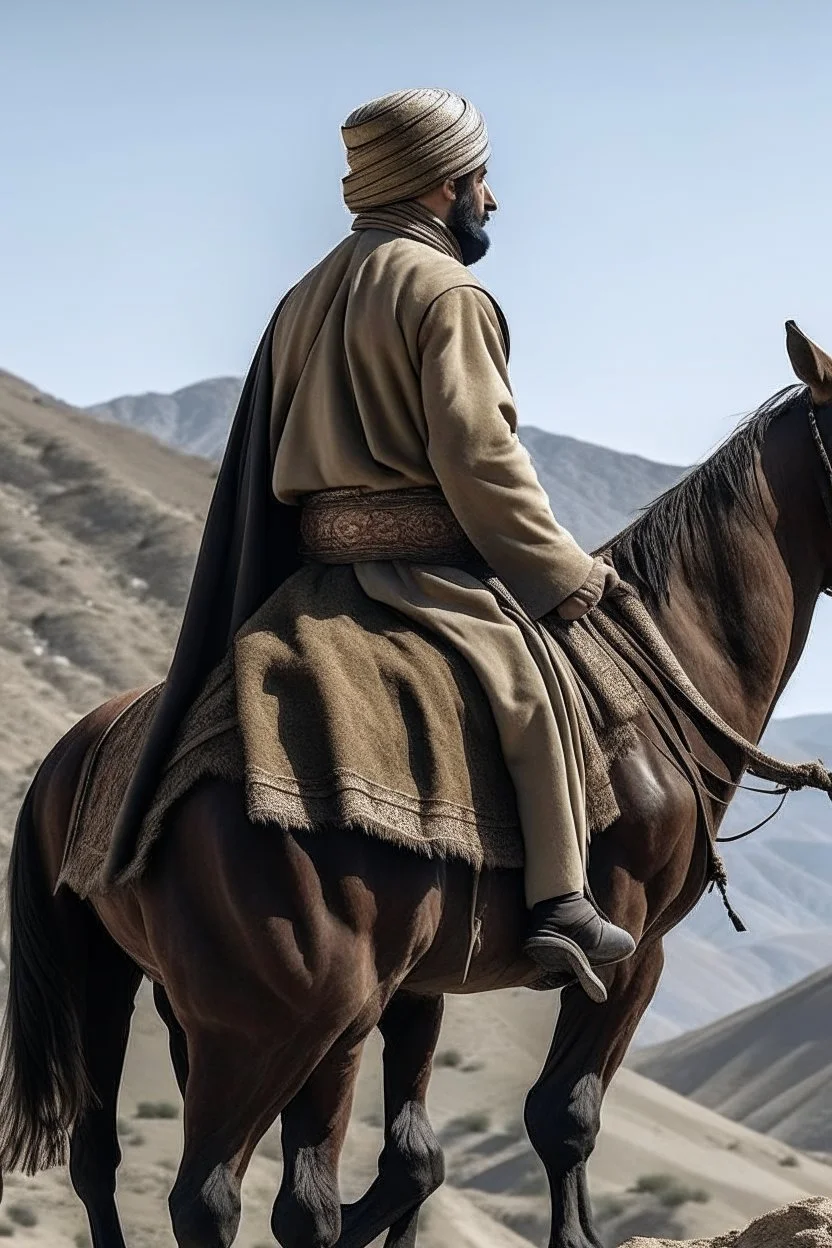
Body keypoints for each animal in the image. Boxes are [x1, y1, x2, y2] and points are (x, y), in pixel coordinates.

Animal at [0, 319, 828, 1248]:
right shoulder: (635, 947)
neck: (665, 672)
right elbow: (563, 1116)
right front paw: (574, 1235)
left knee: (98, 1162)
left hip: (119, 985)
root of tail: (91, 748)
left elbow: (414, 1160)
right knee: (219, 1197)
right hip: (286, 1020)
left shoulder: (421, 983)